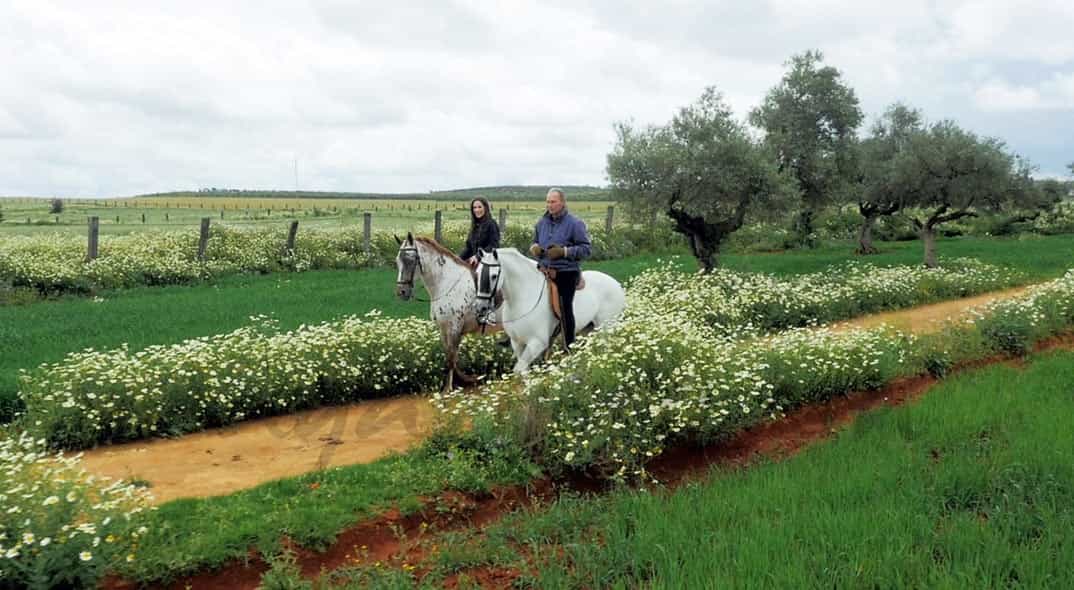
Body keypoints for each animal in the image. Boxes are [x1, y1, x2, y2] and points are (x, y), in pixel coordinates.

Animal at [395, 233, 498, 391]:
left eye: (410, 260)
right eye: (397, 261)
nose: (401, 292)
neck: (447, 284)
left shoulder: (454, 328)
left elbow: (451, 358)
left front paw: (448, 390)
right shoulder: (443, 329)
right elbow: (451, 357)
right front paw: (461, 381)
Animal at [474, 248, 627, 371]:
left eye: (493, 276)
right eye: (477, 273)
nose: (481, 307)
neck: (523, 299)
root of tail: (617, 284)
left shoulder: (537, 343)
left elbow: (519, 369)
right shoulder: (516, 343)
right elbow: (523, 370)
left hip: (606, 328)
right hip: (589, 330)